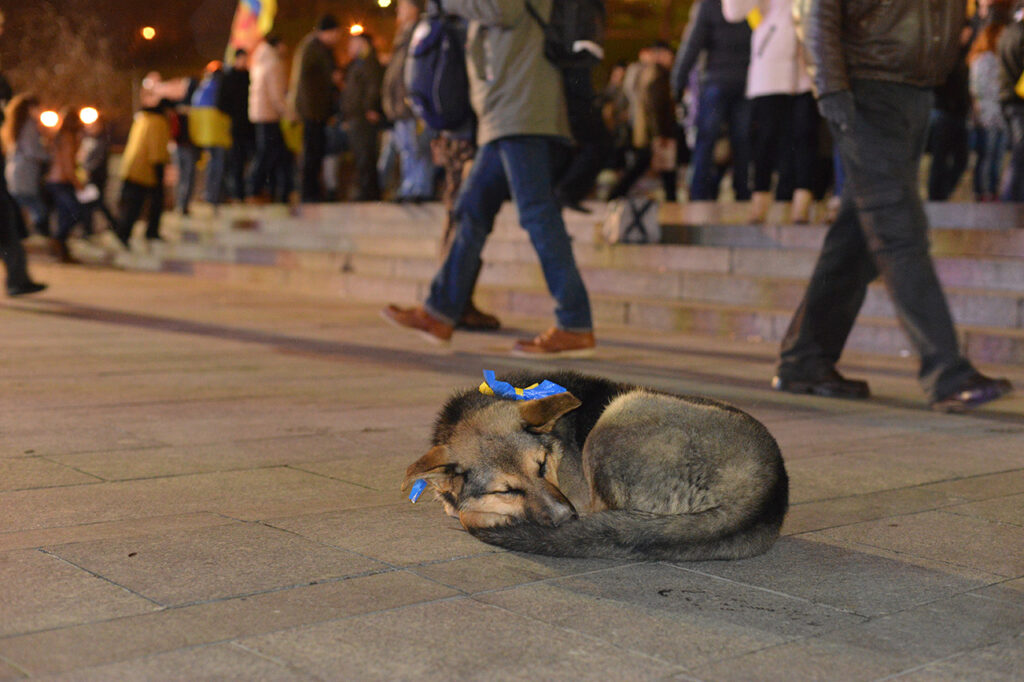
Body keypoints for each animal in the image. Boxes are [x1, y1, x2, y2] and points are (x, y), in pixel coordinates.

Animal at [403, 372, 786, 557]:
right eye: (507, 489)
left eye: (542, 466)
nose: (564, 518)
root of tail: (766, 493)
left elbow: (467, 514)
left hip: (618, 414)